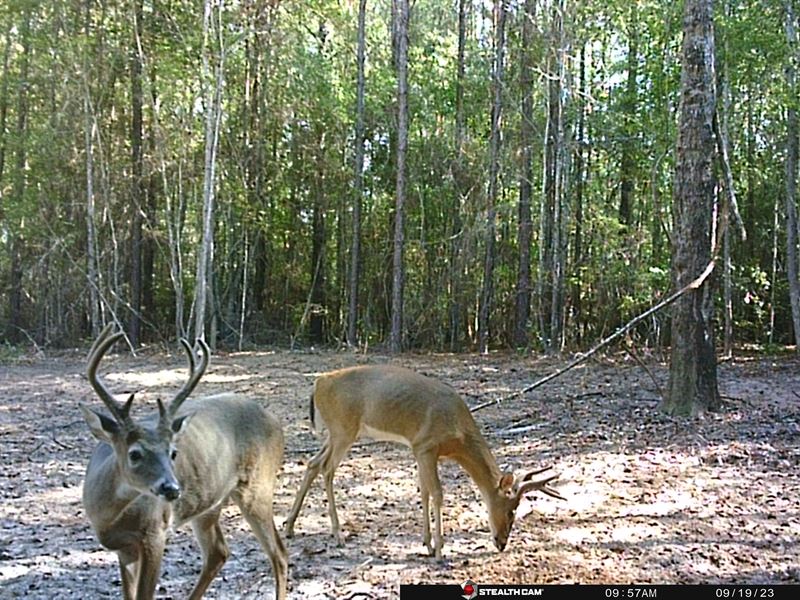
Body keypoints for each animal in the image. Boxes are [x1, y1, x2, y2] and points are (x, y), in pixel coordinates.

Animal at [80, 328, 288, 600]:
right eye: (134, 454)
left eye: (173, 452)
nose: (172, 488)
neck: (108, 515)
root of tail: (275, 421)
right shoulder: (124, 550)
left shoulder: (154, 533)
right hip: (210, 502)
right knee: (218, 552)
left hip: (258, 486)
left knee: (279, 554)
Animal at [284, 364, 564, 560]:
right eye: (511, 509)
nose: (502, 543)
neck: (458, 435)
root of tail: (319, 383)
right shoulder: (427, 445)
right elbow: (438, 493)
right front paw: (440, 550)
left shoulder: (420, 450)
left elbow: (425, 491)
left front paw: (428, 544)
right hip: (344, 429)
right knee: (327, 469)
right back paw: (338, 534)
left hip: (336, 432)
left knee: (313, 463)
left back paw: (289, 527)